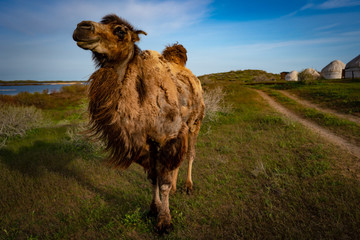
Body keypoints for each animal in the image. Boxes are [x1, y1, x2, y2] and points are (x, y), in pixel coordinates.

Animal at [72, 14, 205, 232]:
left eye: (120, 30)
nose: (81, 27)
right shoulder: (148, 143)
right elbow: (153, 177)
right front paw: (153, 208)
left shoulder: (167, 136)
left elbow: (163, 182)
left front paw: (164, 221)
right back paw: (176, 187)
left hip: (196, 122)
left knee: (191, 153)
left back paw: (188, 186)